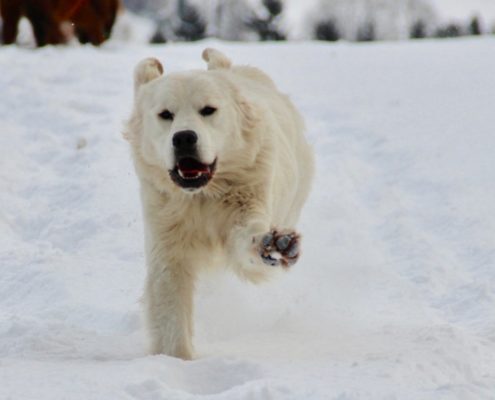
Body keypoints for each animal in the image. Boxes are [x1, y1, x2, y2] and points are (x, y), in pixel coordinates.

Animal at [126, 49, 316, 360]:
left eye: (208, 110)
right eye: (165, 114)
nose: (184, 138)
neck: (202, 195)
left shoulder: (249, 200)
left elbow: (248, 243)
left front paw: (274, 246)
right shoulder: (166, 237)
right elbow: (169, 300)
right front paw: (175, 359)